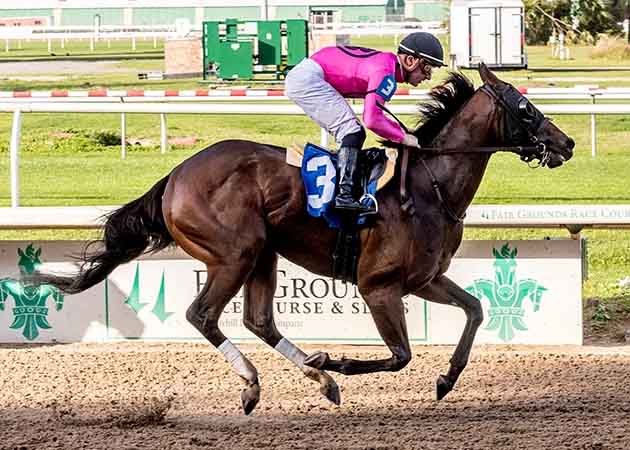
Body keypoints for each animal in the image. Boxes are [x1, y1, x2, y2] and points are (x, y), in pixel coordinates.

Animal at [29, 64, 576, 414]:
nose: (566, 143)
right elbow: (401, 355)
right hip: (235, 252)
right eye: (526, 108)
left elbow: (476, 310)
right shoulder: (379, 286)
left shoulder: (423, 280)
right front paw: (341, 359)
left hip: (263, 254)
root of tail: (176, 176)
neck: (429, 185)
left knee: (259, 320)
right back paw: (260, 383)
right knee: (203, 315)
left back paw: (319, 378)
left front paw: (446, 379)